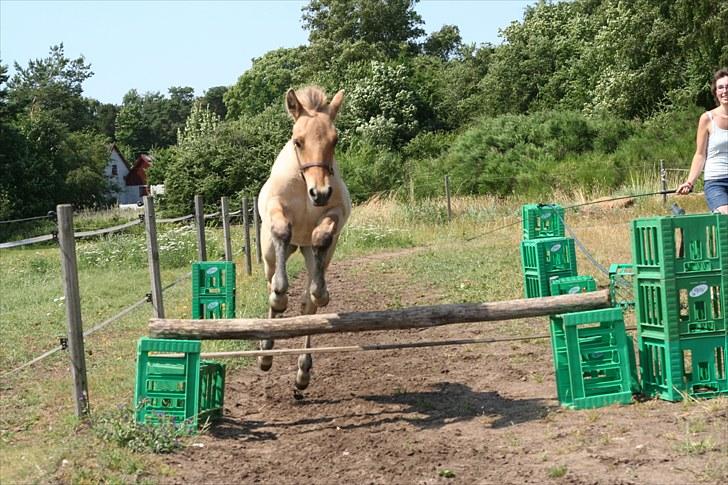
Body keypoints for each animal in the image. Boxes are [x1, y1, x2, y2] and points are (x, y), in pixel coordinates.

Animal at [256, 86, 351, 390]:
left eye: (335, 140)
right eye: (298, 141)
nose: (319, 193)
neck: (303, 181)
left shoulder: (335, 213)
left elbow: (323, 236)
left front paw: (321, 291)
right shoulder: (276, 208)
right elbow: (282, 230)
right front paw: (280, 296)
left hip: (308, 251)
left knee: (309, 305)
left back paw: (303, 373)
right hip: (269, 254)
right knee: (271, 279)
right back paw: (265, 352)